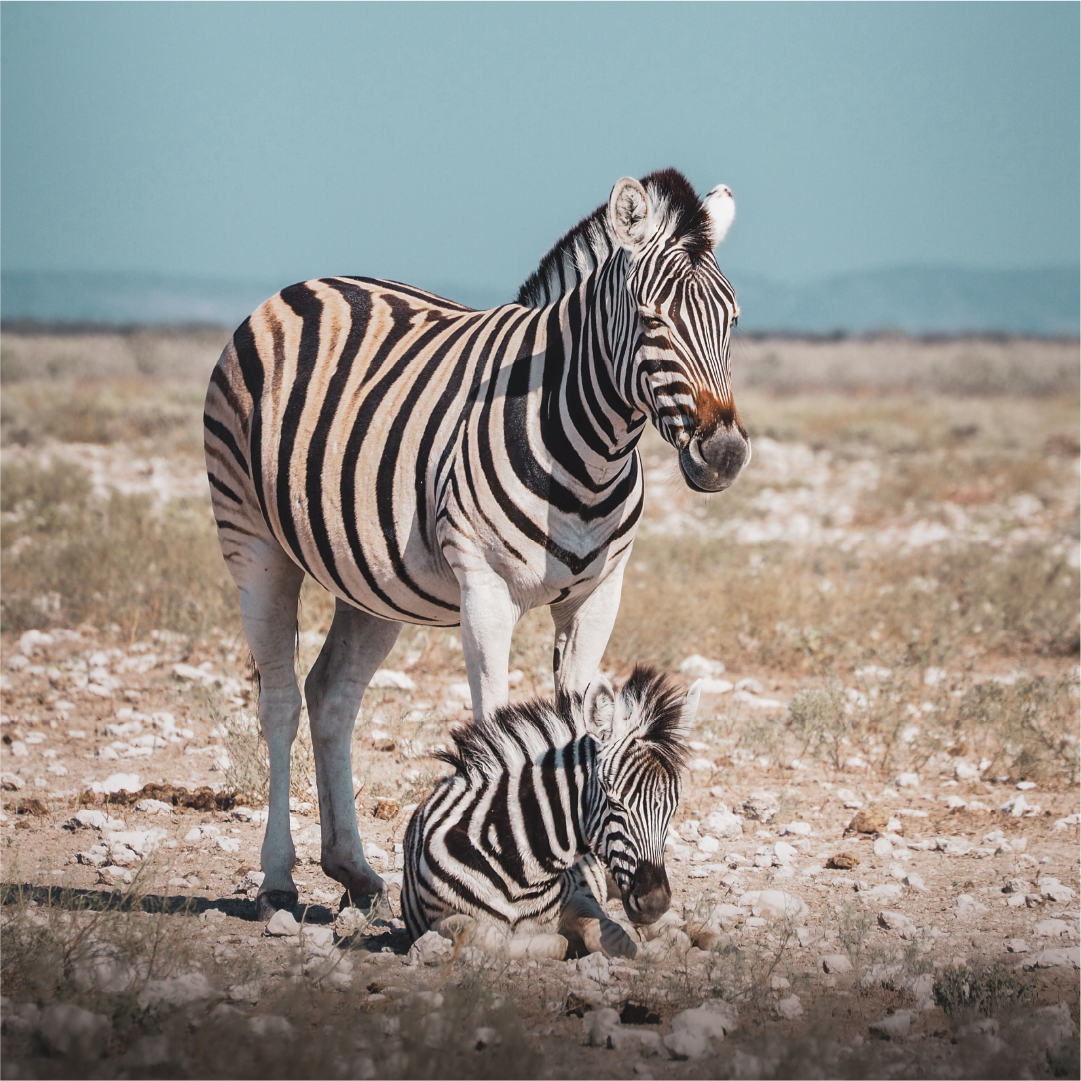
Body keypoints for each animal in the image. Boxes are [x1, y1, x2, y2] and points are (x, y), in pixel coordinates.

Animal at [201, 166, 743, 912]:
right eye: (651, 319)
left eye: (734, 321)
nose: (723, 455)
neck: (590, 448)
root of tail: (304, 286)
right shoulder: (485, 591)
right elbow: (494, 721)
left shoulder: (598, 596)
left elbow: (582, 723)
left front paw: (587, 887)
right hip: (254, 542)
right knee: (278, 698)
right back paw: (278, 877)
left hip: (370, 581)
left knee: (331, 695)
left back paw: (352, 869)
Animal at [402, 665, 696, 955]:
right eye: (614, 803)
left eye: (671, 811)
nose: (655, 903)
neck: (521, 874)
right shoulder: (438, 919)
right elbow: (490, 939)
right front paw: (553, 944)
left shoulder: (581, 897)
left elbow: (612, 937)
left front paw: (656, 949)